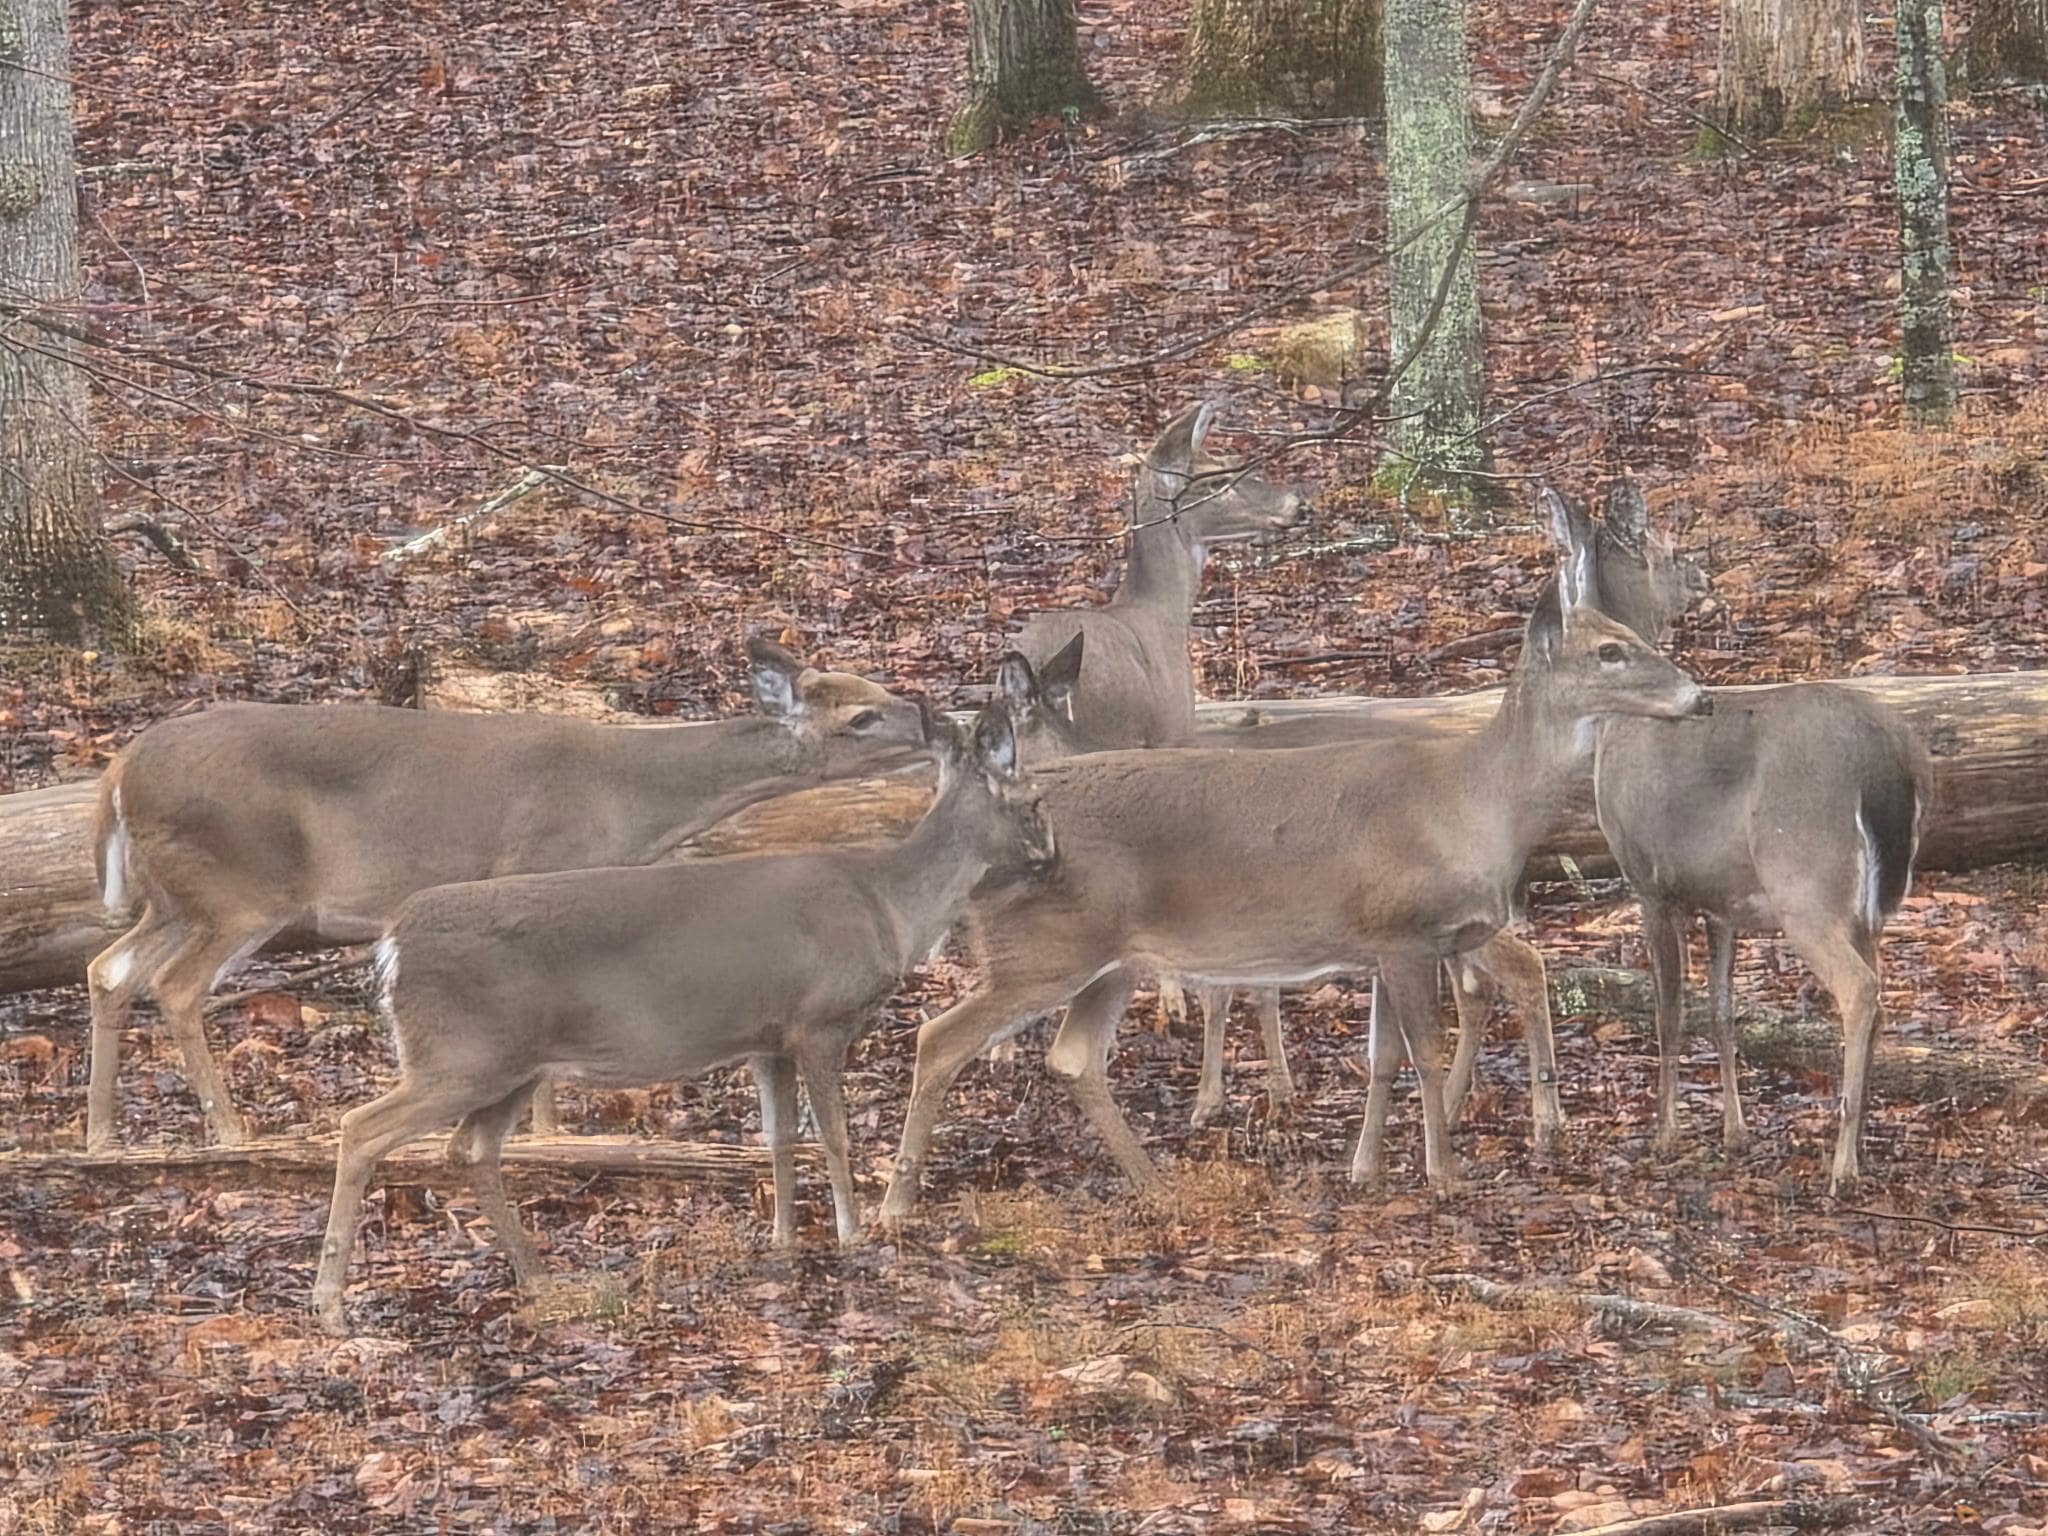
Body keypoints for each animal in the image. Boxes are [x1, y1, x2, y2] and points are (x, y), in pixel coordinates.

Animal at [87, 639, 928, 1151]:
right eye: (861, 715)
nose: (926, 717)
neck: (631, 801)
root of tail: (120, 771)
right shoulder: (542, 868)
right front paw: (550, 1135)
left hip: (174, 898)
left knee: (109, 969)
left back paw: (100, 1133)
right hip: (240, 886)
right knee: (174, 984)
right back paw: (229, 1130)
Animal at [309, 694, 1054, 1336]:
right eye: (1032, 801)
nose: (1051, 858)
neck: (889, 903)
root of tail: (392, 945)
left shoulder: (767, 1037)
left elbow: (778, 1139)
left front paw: (784, 1240)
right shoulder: (819, 1019)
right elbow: (835, 1136)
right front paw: (853, 1233)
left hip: (510, 1066)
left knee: (470, 1148)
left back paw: (537, 1276)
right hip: (461, 1056)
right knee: (360, 1129)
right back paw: (331, 1304)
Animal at [879, 488, 1712, 1219]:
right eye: (1610, 651)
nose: (1699, 696)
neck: (1475, 799)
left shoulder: (1391, 937)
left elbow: (1385, 1055)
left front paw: (1366, 1168)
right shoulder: (1405, 932)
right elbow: (1425, 1051)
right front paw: (1444, 1174)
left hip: (1104, 957)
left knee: (1072, 1056)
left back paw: (1154, 1181)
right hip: (1043, 949)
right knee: (940, 1038)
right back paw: (895, 1202)